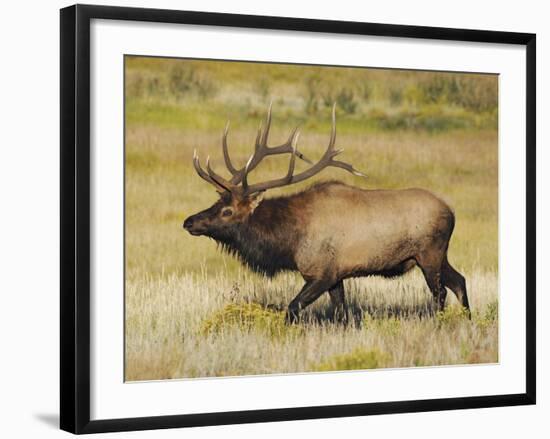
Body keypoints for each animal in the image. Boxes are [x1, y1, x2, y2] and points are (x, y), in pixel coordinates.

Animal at [184, 105, 470, 324]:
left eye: (227, 210)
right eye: (216, 201)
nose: (189, 222)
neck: (290, 241)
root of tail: (452, 212)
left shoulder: (321, 273)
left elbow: (292, 309)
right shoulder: (337, 276)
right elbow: (343, 314)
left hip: (429, 253)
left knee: (440, 292)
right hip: (438, 255)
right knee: (459, 281)